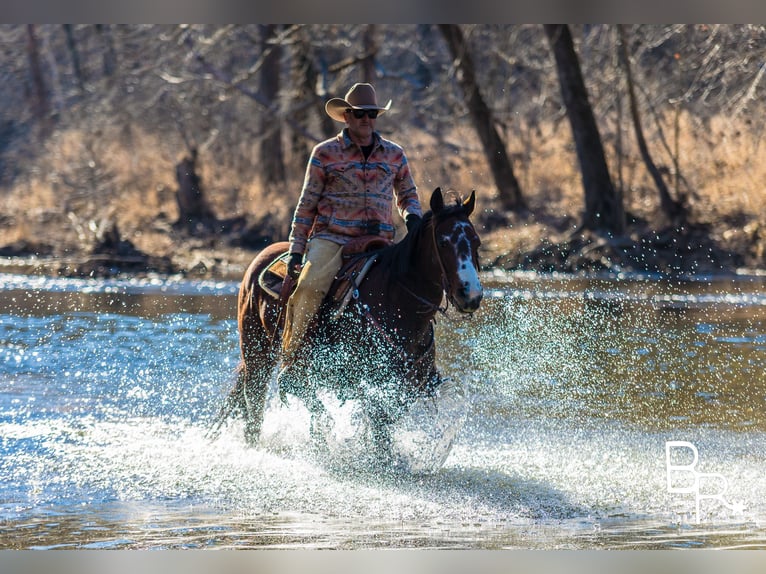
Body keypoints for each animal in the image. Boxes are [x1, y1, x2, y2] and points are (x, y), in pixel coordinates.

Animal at [210, 189, 484, 460]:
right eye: (443, 242)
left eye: (476, 242)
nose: (470, 295)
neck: (395, 301)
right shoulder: (360, 382)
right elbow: (375, 429)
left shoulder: (414, 383)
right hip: (258, 354)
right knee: (263, 401)